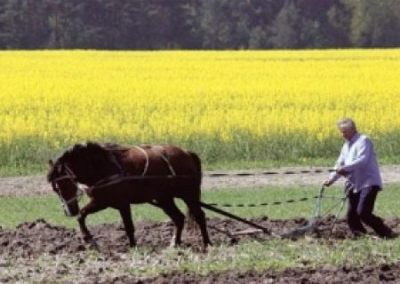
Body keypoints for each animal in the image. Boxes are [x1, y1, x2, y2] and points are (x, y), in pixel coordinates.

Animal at [47, 142, 212, 248]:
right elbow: (82, 215)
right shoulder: (101, 201)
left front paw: (132, 246)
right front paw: (88, 239)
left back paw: (207, 243)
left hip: (189, 194)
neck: (103, 167)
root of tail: (187, 153)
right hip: (165, 199)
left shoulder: (121, 203)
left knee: (199, 215)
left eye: (63, 184)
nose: (69, 211)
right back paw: (174, 243)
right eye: (55, 188)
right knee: (179, 218)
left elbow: (128, 226)